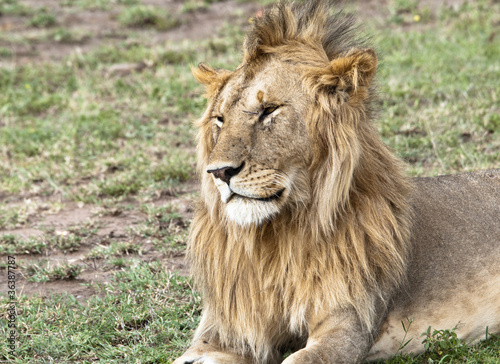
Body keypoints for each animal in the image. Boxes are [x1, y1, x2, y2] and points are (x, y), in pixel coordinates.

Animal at [173, 1, 500, 362]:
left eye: (269, 110)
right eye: (219, 119)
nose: (218, 172)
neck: (273, 241)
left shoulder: (347, 325)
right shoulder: (224, 332)